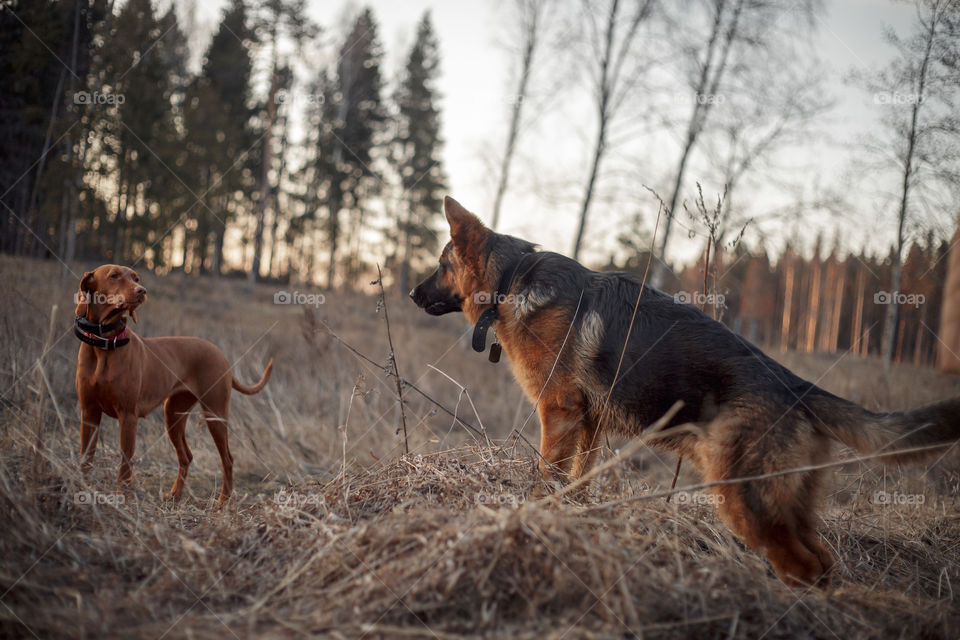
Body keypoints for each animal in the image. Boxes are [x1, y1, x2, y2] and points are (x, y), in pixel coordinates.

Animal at [72, 262, 270, 502]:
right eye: (114, 275)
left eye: (136, 278)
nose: (142, 291)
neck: (105, 342)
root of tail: (221, 355)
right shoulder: (89, 413)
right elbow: (85, 459)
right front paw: (81, 492)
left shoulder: (128, 417)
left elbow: (125, 466)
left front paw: (123, 499)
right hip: (174, 414)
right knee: (186, 456)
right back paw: (175, 496)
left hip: (214, 413)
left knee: (228, 460)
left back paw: (223, 501)